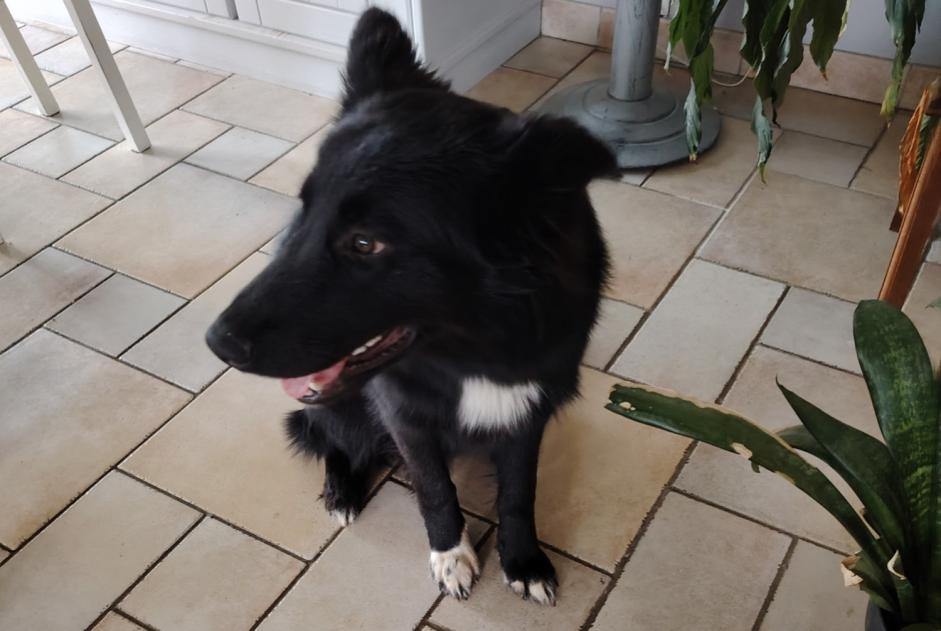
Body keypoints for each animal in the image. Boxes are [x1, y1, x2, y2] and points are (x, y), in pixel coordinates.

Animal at [207, 6, 612, 608]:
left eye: (365, 243)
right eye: (304, 210)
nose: (218, 344)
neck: (472, 348)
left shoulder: (527, 409)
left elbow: (520, 491)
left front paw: (523, 560)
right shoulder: (406, 419)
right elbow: (435, 490)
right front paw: (451, 556)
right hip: (340, 408)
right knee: (329, 439)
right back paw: (342, 488)